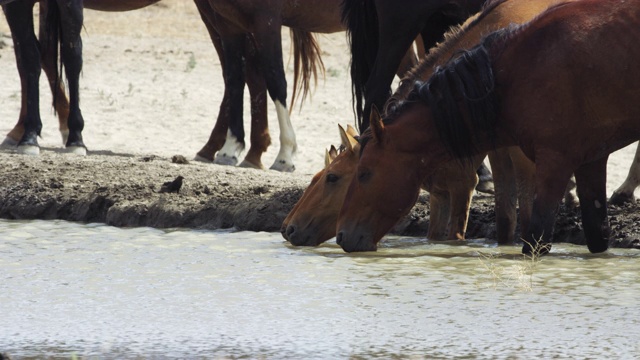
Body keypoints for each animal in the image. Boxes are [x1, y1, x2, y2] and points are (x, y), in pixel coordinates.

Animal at [282, 0, 576, 248]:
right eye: (316, 176)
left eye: (332, 177)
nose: (288, 228)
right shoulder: (451, 186)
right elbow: (499, 222)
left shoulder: (469, 181)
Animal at [336, 0, 640, 255]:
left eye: (364, 174)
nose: (340, 236)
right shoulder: (591, 159)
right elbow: (596, 235)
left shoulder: (555, 161)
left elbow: (535, 237)